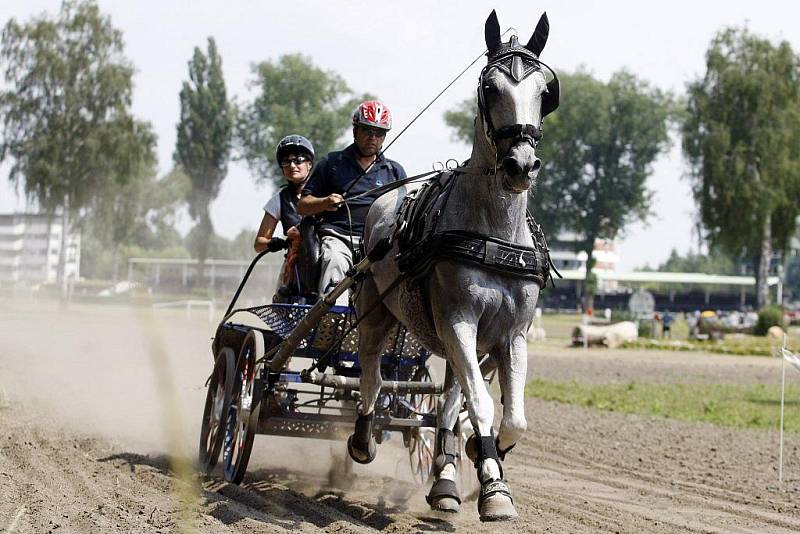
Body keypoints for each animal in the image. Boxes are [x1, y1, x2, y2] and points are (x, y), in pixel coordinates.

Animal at [346, 11, 560, 524]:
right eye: (489, 87)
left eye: (545, 90)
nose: (521, 164)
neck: (494, 232)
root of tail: (384, 201)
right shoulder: (459, 319)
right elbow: (481, 406)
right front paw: (491, 485)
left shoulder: (510, 335)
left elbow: (512, 417)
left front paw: (489, 464)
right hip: (379, 313)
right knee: (371, 376)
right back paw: (363, 439)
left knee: (446, 403)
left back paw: (444, 479)